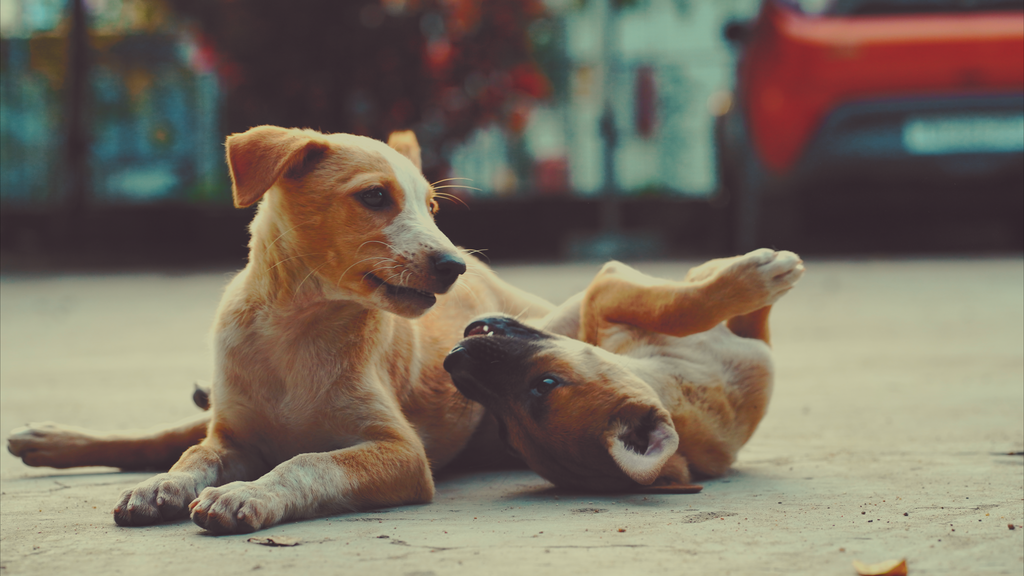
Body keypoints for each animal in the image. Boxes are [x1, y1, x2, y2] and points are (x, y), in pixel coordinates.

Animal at [6, 125, 802, 533]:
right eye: (374, 198)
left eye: (432, 205)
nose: (454, 265)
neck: (296, 331)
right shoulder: (231, 438)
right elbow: (193, 459)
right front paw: (166, 490)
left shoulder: (399, 455)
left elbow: (308, 462)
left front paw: (247, 497)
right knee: (159, 438)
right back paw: (52, 442)